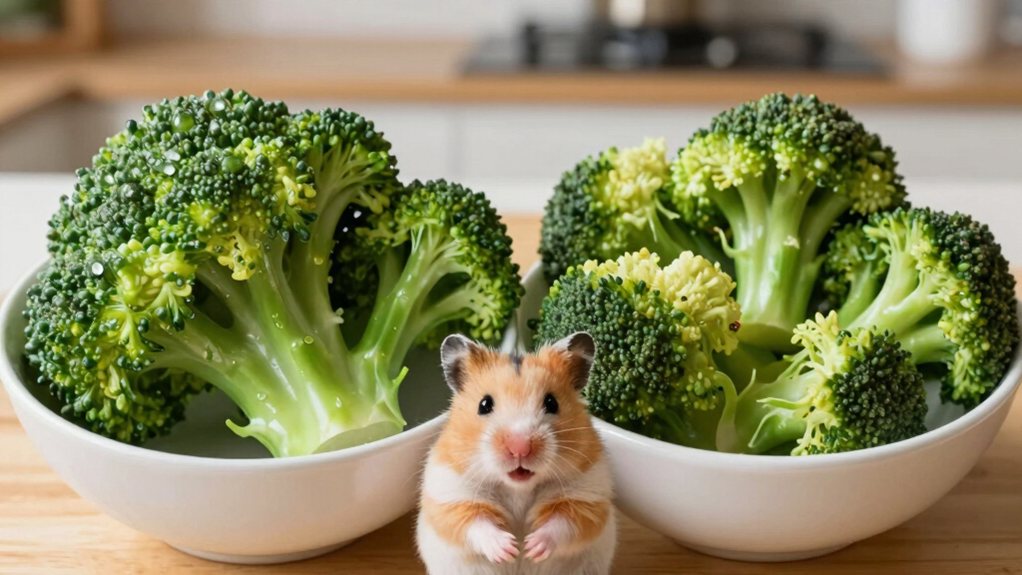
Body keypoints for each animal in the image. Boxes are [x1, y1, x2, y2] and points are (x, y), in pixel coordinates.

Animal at [416, 332, 616, 575]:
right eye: (484, 404)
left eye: (552, 402)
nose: (520, 447)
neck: (518, 489)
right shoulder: (452, 495)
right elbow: (476, 524)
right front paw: (509, 549)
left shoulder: (587, 496)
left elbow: (563, 523)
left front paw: (531, 547)